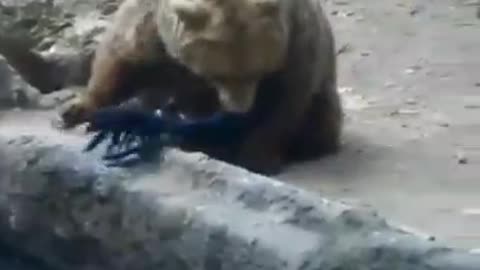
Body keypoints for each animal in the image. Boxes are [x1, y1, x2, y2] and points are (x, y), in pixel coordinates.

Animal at [62, 0, 344, 175]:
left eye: (258, 72)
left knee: (320, 118)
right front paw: (78, 111)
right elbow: (122, 59)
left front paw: (259, 157)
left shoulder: (296, 39)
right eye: (221, 75)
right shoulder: (154, 28)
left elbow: (286, 100)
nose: (239, 110)